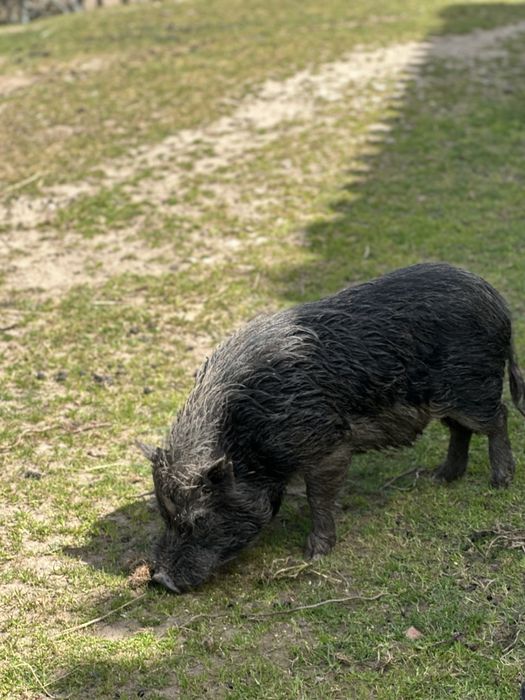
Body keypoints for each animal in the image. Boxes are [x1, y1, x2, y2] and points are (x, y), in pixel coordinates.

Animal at [138, 263, 525, 593]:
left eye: (200, 518)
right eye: (165, 514)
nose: (160, 580)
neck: (244, 437)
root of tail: (496, 300)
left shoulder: (328, 445)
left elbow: (319, 496)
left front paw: (314, 553)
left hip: (473, 387)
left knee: (499, 417)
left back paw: (499, 482)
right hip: (448, 399)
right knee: (460, 431)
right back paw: (441, 478)